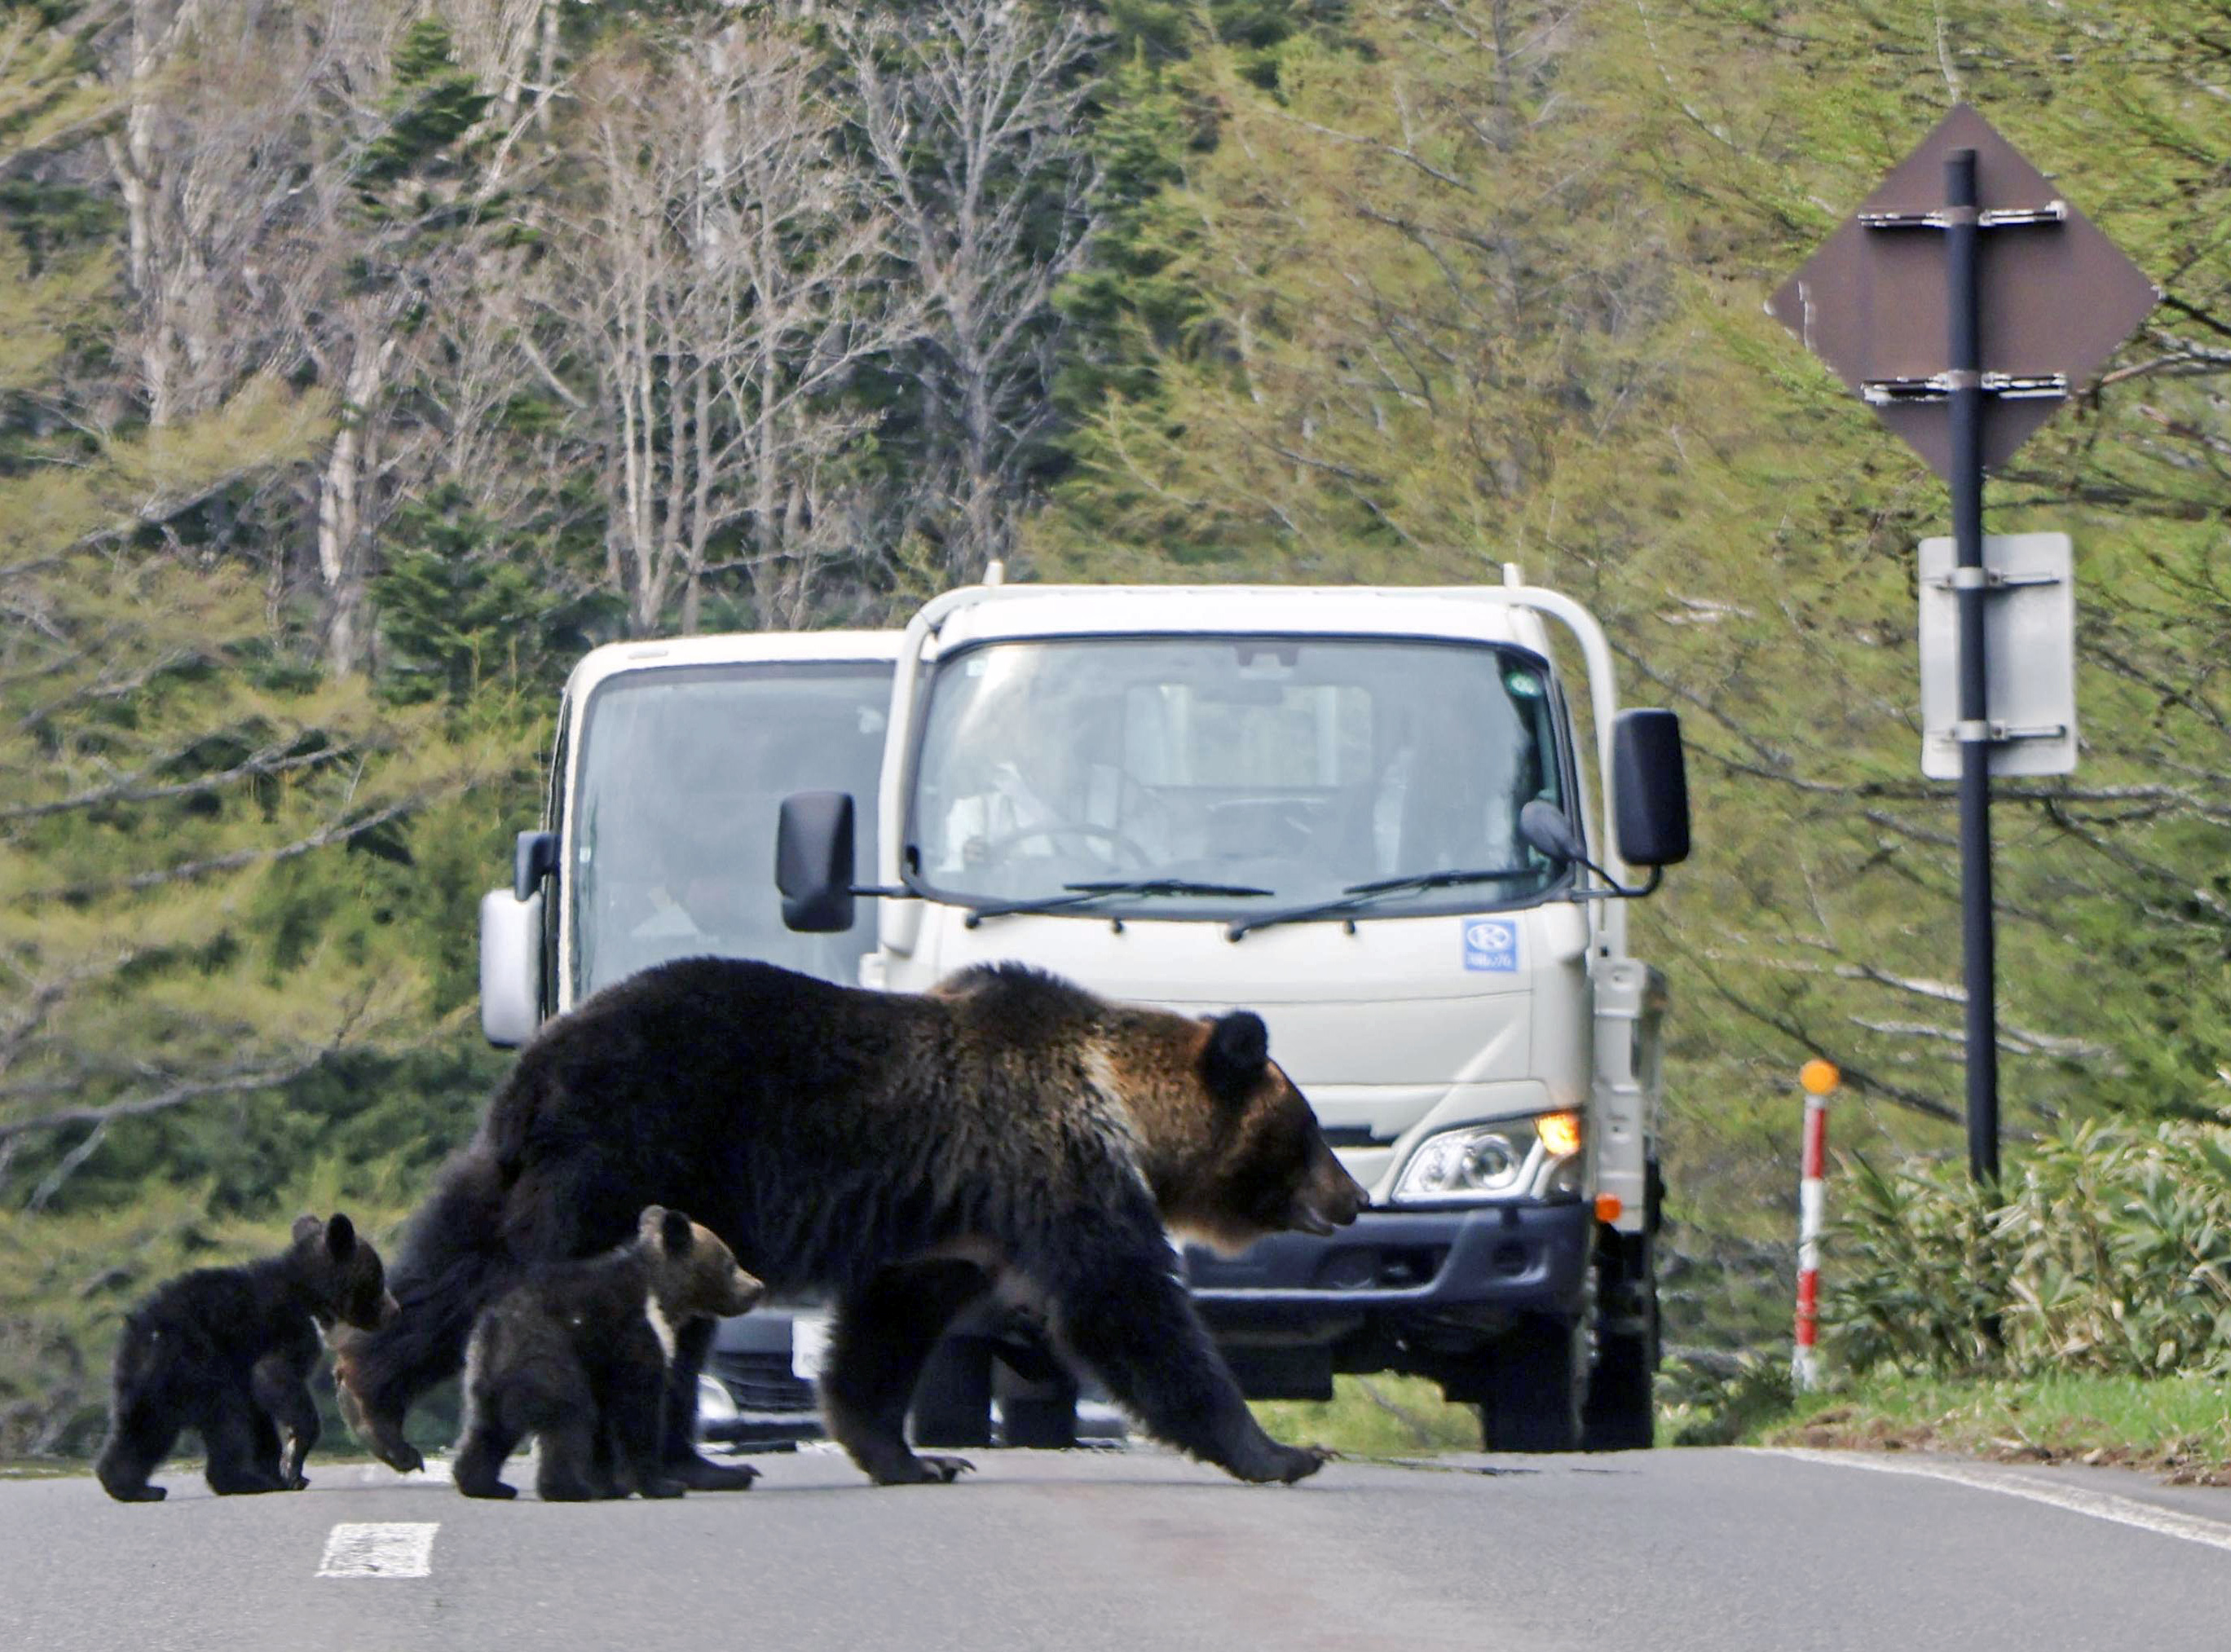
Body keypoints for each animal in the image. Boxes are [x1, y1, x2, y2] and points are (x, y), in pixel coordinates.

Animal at [96, 1212, 396, 1502]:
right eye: (378, 1278)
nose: (394, 1309)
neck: (309, 1294)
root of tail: (141, 1333)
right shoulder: (287, 1328)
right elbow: (273, 1375)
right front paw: (292, 1461)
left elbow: (259, 1413)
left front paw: (283, 1471)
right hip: (196, 1366)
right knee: (226, 1420)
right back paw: (241, 1481)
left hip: (149, 1383)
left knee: (143, 1429)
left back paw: (132, 1486)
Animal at [452, 1205, 765, 1502]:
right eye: (731, 1263)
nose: (757, 1287)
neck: (662, 1295)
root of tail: (494, 1327)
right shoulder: (635, 1335)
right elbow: (637, 1406)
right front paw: (661, 1484)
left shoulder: (600, 1361)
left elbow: (606, 1419)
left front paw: (610, 1484)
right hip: (547, 1356)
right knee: (569, 1418)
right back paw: (569, 1489)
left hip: (487, 1378)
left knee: (488, 1430)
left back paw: (486, 1484)